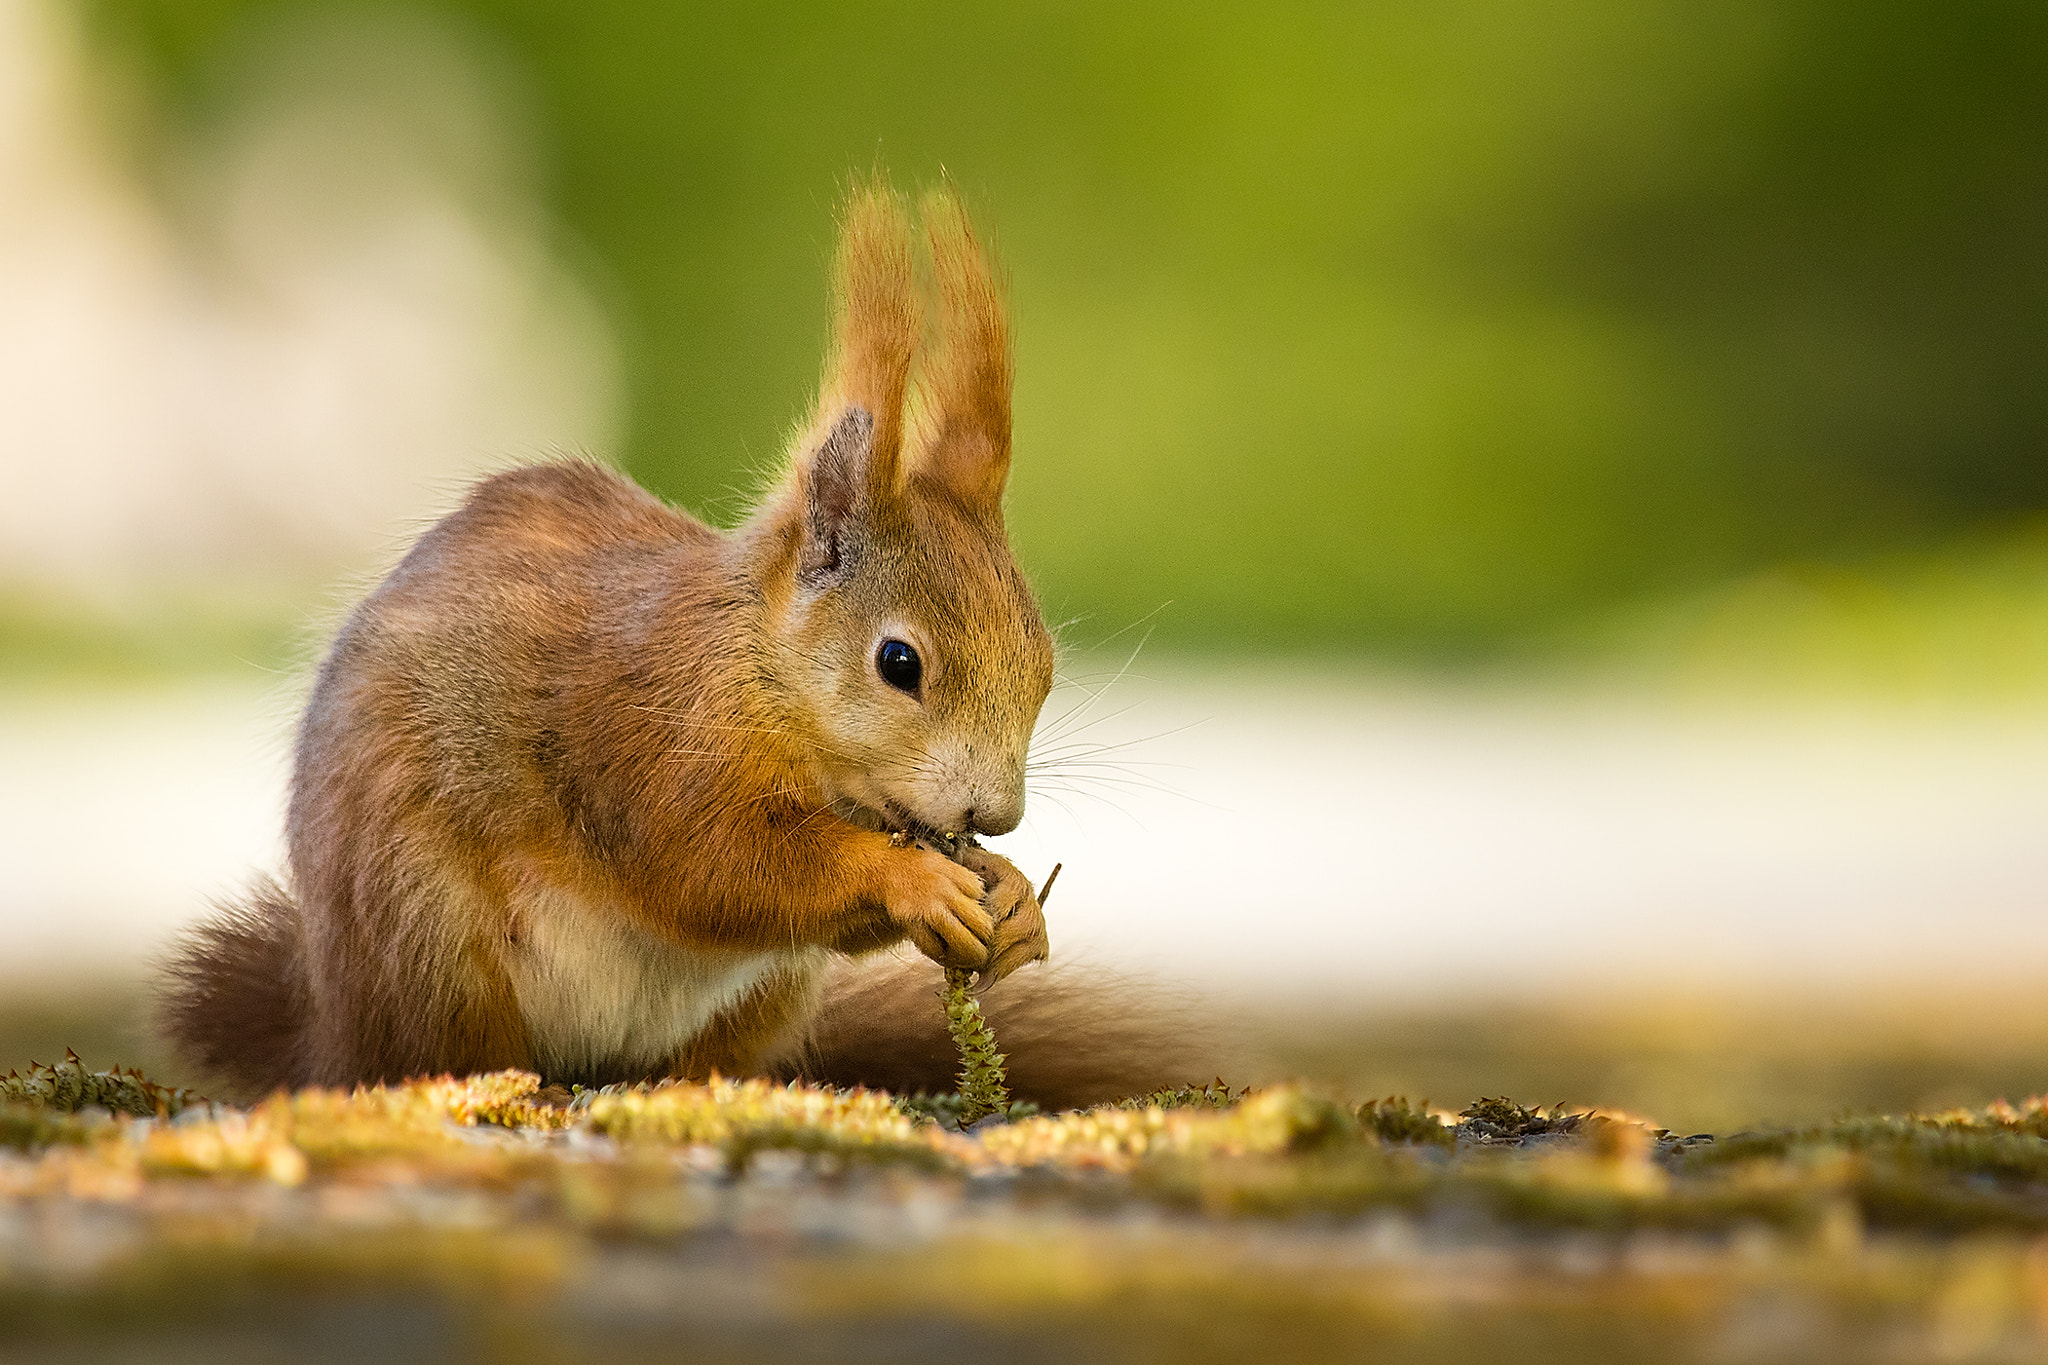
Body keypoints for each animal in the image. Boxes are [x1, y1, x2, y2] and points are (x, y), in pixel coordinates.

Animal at [157, 181, 1073, 1096]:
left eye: (1046, 666)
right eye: (898, 662)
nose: (997, 814)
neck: (756, 669)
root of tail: (330, 1032)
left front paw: (1016, 898)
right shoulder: (647, 736)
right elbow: (715, 866)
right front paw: (914, 878)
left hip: (768, 991)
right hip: (424, 929)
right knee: (440, 1048)